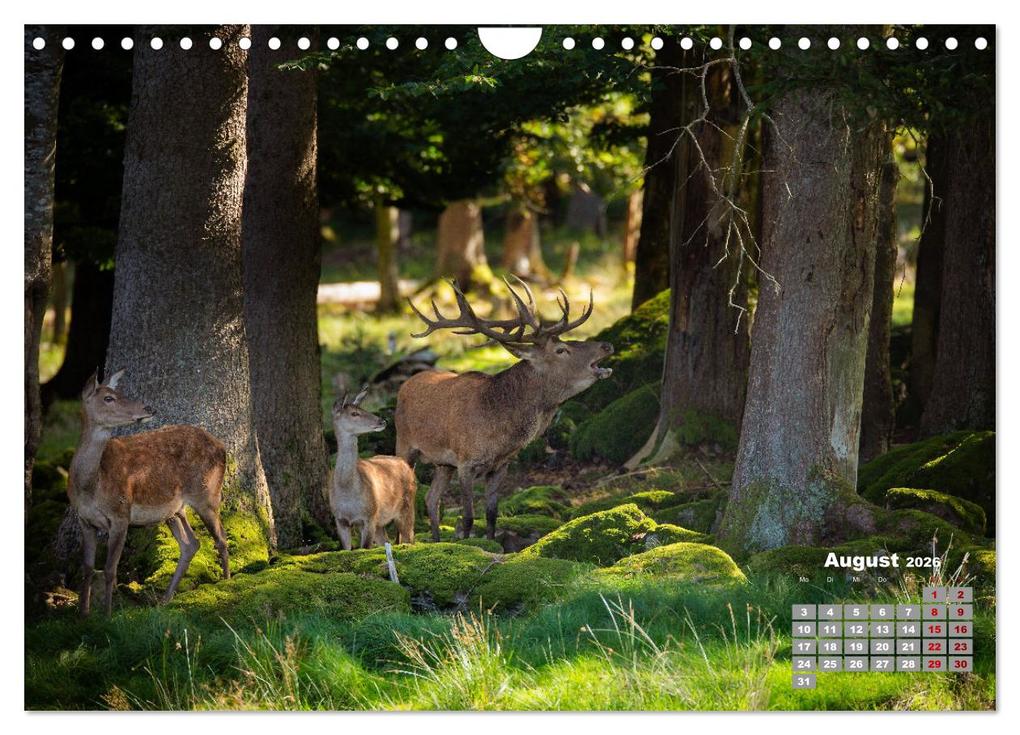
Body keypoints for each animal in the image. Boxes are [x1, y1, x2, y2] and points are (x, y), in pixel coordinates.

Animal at [68, 370, 230, 616]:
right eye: (108, 398)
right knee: (191, 544)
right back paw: (165, 598)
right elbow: (87, 567)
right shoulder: (84, 520)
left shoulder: (120, 514)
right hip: (175, 510)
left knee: (220, 537)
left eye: (119, 393)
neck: (90, 486)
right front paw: (83, 614)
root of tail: (222, 447)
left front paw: (106, 614)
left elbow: (110, 569)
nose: (149, 408)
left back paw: (228, 582)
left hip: (208, 493)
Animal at [330, 385, 417, 550]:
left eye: (362, 408)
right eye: (354, 413)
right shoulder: (340, 519)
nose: (382, 420)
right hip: (381, 523)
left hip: (407, 506)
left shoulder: (369, 516)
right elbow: (347, 549)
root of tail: (407, 465)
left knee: (409, 538)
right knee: (387, 541)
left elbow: (365, 547)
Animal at [396, 278, 614, 541]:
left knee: (431, 498)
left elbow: (491, 515)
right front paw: (468, 544)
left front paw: (491, 542)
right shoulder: (465, 462)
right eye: (561, 350)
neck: (499, 433)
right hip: (404, 444)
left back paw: (436, 541)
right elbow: (468, 517)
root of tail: (405, 384)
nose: (606, 345)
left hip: (442, 464)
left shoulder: (501, 465)